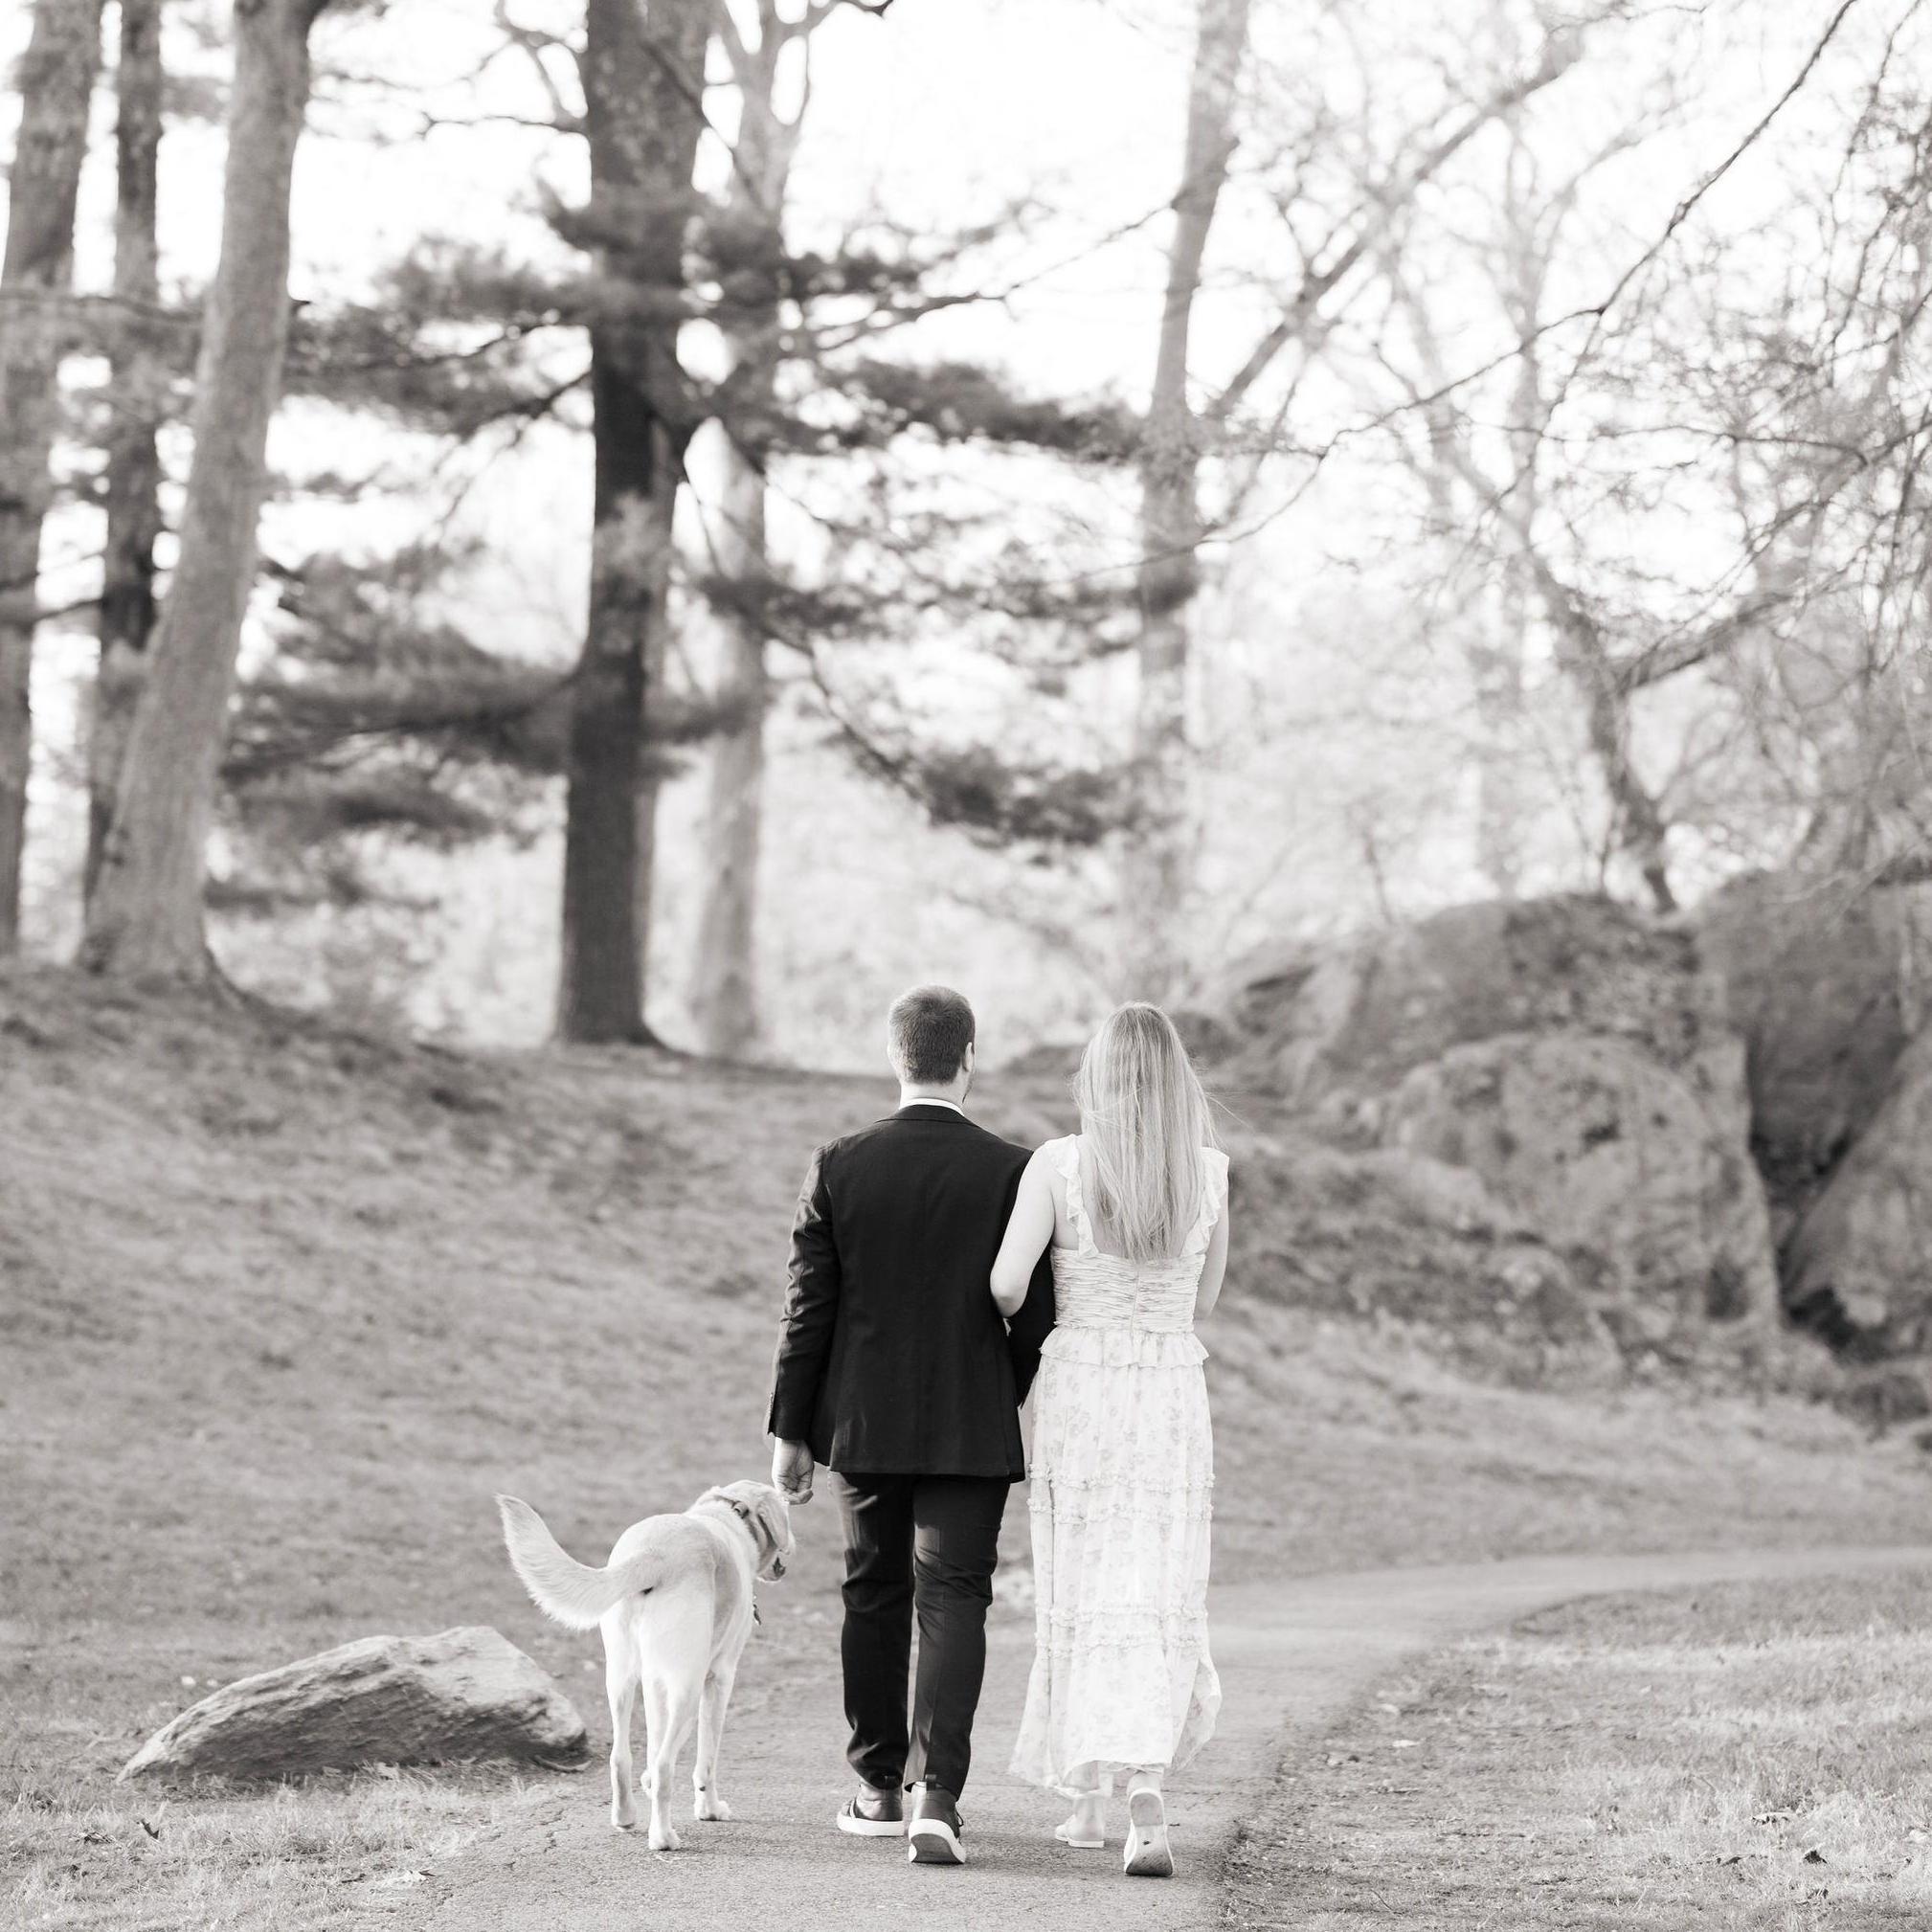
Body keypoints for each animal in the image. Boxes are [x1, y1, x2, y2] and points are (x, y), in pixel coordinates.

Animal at [498, 1481, 793, 1849]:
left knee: (620, 1756)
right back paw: (663, 1836)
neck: (730, 1515)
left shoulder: (655, 1681)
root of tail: (656, 1554)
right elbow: (705, 1759)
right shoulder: (719, 1678)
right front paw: (709, 1809)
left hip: (620, 1678)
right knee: (666, 1763)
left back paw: (625, 1816)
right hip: (687, 1686)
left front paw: (649, 1786)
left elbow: (655, 1740)